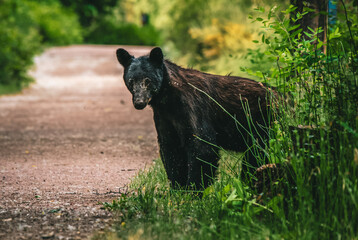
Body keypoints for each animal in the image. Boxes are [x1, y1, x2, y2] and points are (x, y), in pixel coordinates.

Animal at [116, 47, 276, 189]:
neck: (169, 100)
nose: (139, 102)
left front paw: (193, 190)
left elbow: (202, 147)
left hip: (264, 125)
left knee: (256, 156)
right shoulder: (164, 118)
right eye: (131, 81)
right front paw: (177, 189)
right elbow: (171, 150)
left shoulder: (194, 109)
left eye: (147, 80)